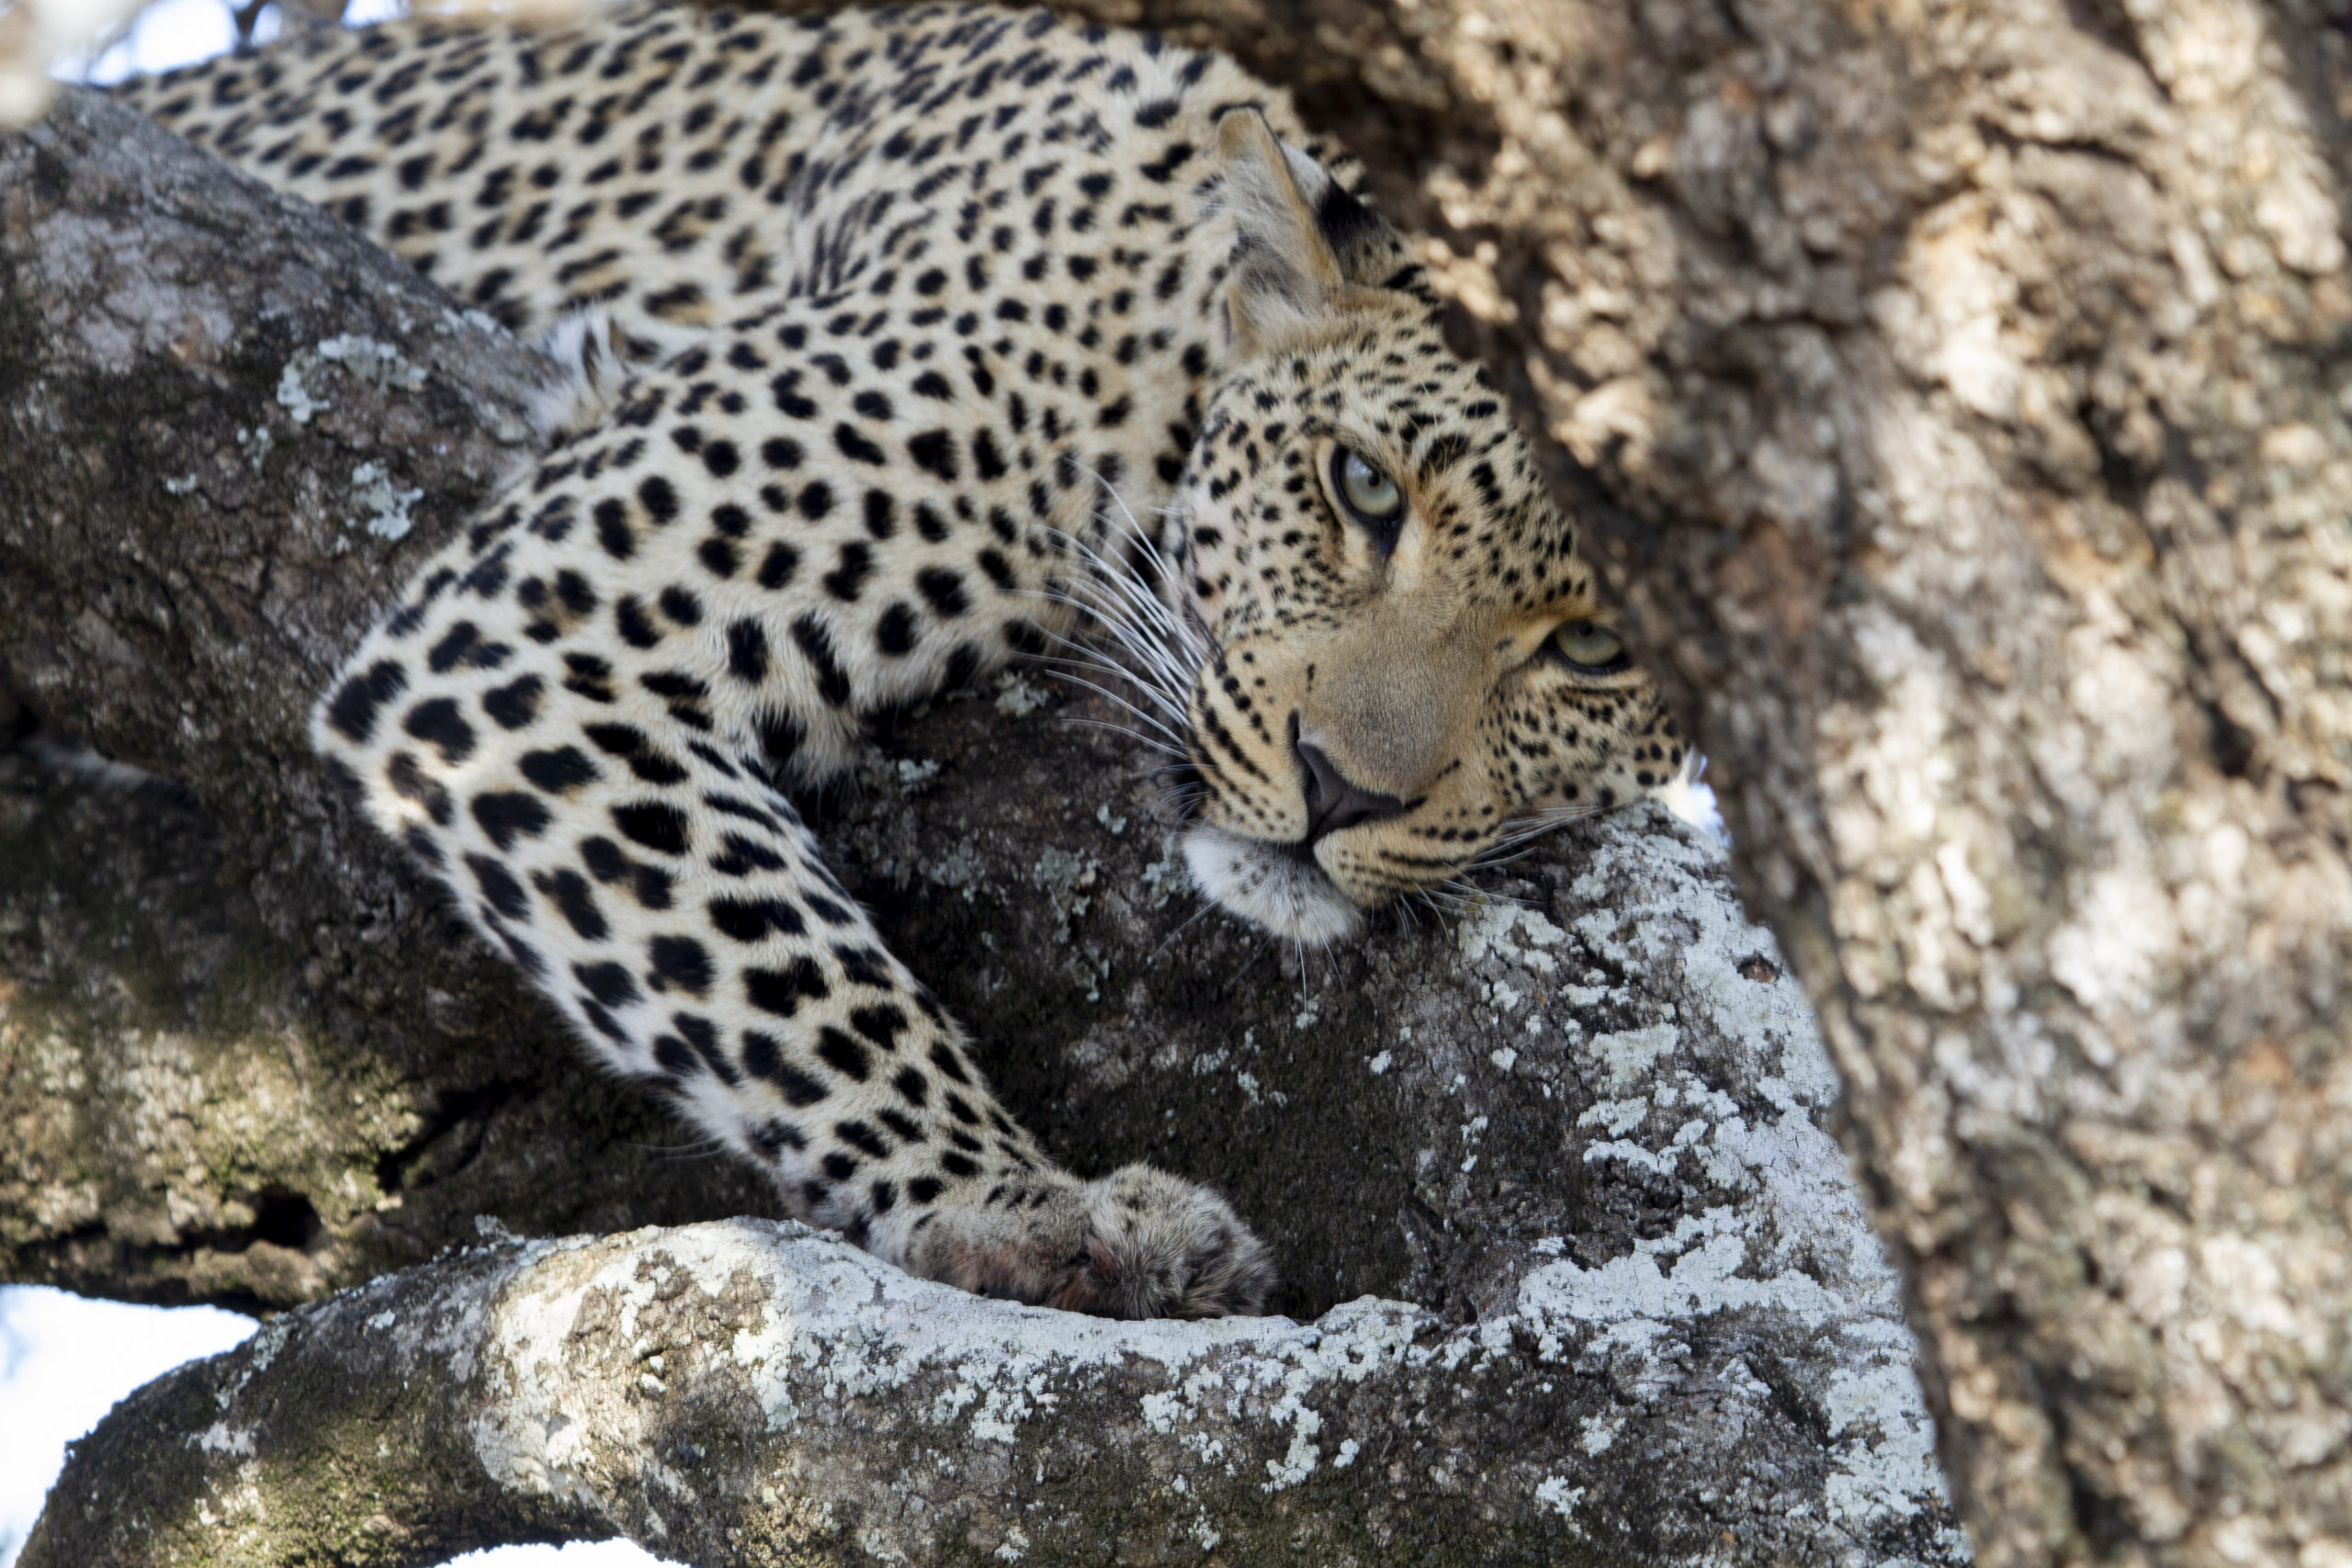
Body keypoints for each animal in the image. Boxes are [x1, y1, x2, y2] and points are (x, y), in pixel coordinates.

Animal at [119, 0, 1683, 1325]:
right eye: (1360, 485)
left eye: (1594, 646)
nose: (1338, 790)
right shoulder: (533, 631)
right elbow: (787, 969)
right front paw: (1011, 1196)